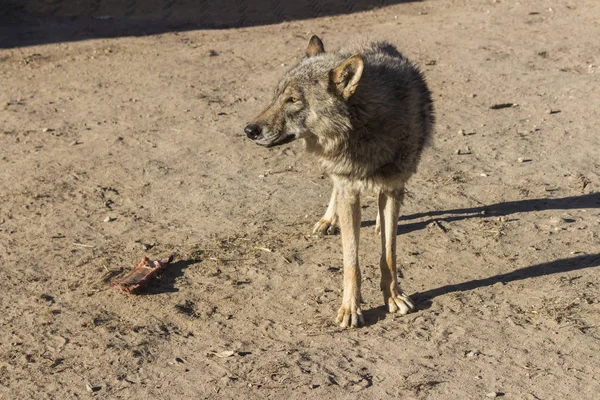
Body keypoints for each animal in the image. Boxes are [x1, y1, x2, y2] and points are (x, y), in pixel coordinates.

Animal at [244, 35, 436, 328]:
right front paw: (350, 308)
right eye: (276, 96)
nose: (248, 130)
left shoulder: (393, 187)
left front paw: (394, 297)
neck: (364, 128)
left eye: (292, 100)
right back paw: (328, 221)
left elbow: (388, 254)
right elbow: (351, 262)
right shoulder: (348, 189)